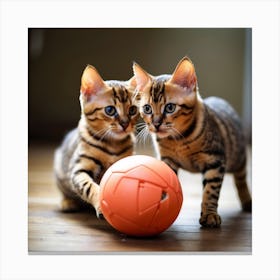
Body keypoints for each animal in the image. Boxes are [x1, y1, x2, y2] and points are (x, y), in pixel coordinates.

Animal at [53, 65, 138, 217]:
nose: (125, 124)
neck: (113, 144)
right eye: (110, 110)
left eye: (133, 110)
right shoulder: (78, 170)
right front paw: (101, 204)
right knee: (65, 192)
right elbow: (89, 187)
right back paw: (68, 202)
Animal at [132, 57, 253, 228]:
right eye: (147, 108)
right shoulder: (167, 160)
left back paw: (247, 200)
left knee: (241, 178)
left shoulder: (215, 161)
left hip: (237, 157)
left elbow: (210, 190)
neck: (177, 140)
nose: (156, 124)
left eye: (170, 107)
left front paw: (209, 214)